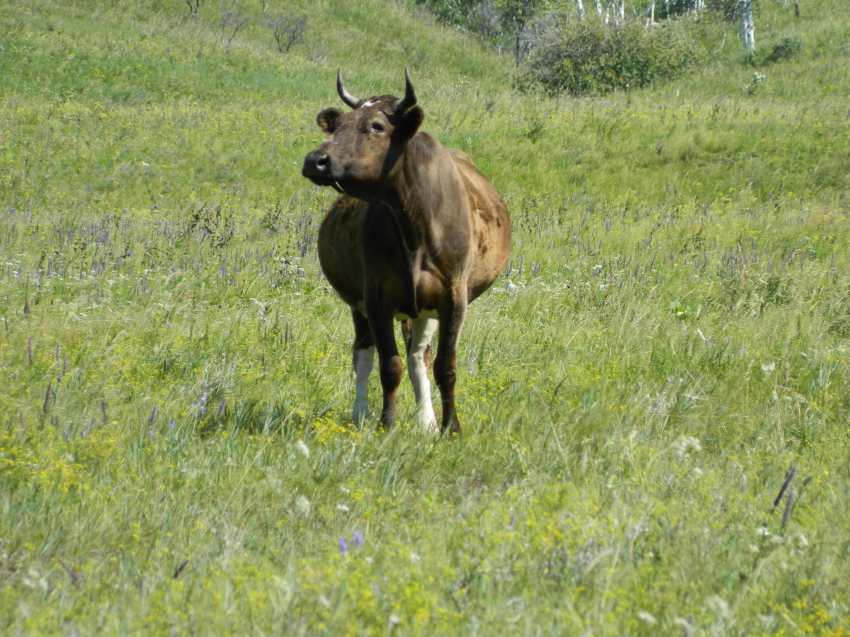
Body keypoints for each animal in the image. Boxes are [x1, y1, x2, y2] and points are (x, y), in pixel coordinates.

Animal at [300, 71, 506, 438]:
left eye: (377, 126)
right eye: (338, 125)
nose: (316, 160)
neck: (414, 227)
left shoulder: (454, 297)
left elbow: (445, 366)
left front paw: (451, 428)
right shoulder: (375, 297)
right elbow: (389, 365)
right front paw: (387, 424)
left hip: (424, 308)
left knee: (418, 356)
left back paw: (427, 422)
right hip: (359, 303)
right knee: (363, 353)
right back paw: (360, 415)